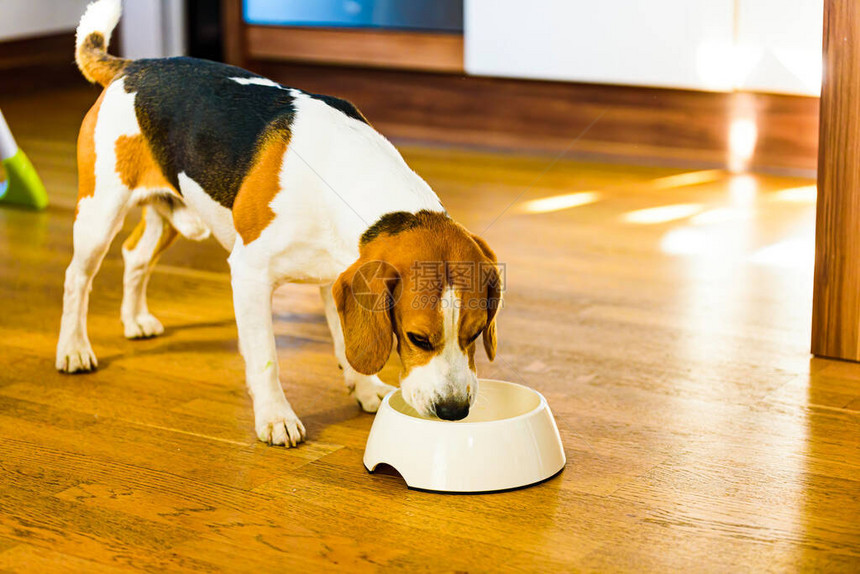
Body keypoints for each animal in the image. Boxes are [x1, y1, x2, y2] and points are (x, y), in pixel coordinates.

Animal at [57, 0, 500, 448]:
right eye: (417, 339)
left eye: (476, 333)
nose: (454, 411)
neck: (342, 173)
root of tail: (132, 66)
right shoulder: (250, 275)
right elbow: (266, 357)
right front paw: (276, 417)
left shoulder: (336, 276)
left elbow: (345, 343)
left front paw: (366, 388)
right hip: (99, 215)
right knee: (77, 277)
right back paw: (73, 348)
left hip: (172, 215)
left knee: (135, 256)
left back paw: (134, 320)